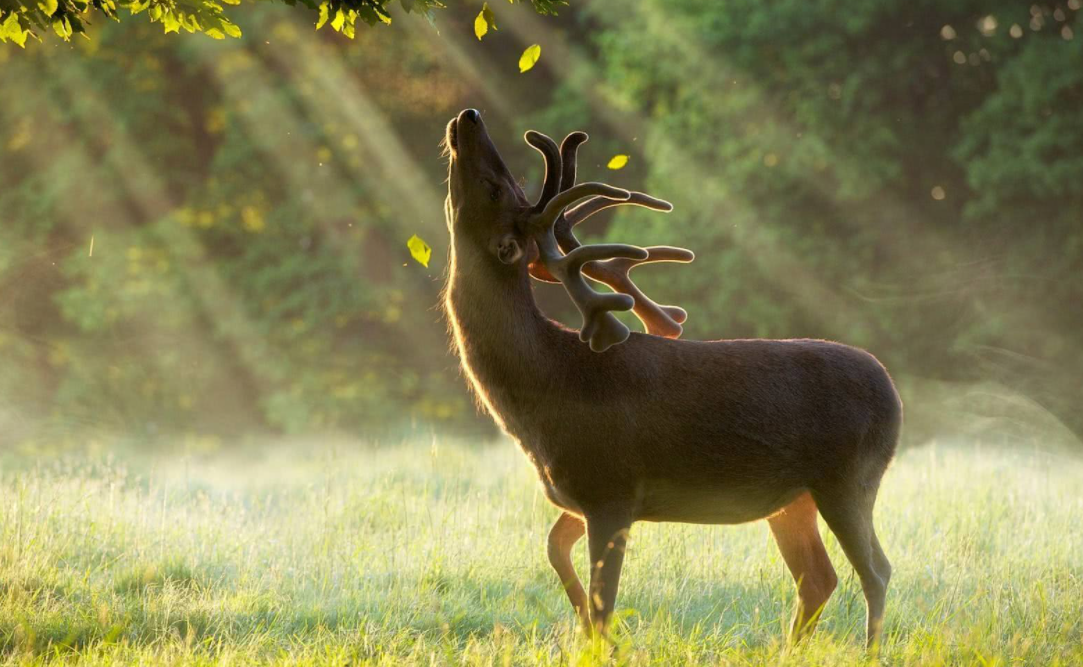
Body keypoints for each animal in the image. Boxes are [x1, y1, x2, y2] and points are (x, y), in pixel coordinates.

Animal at [441, 110, 905, 649]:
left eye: (496, 188)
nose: (469, 116)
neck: (544, 391)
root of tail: (893, 394)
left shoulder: (611, 488)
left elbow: (604, 601)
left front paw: (602, 643)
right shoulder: (581, 495)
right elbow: (555, 549)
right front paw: (584, 629)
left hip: (849, 477)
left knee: (875, 570)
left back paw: (869, 651)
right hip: (793, 500)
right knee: (818, 576)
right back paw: (791, 650)